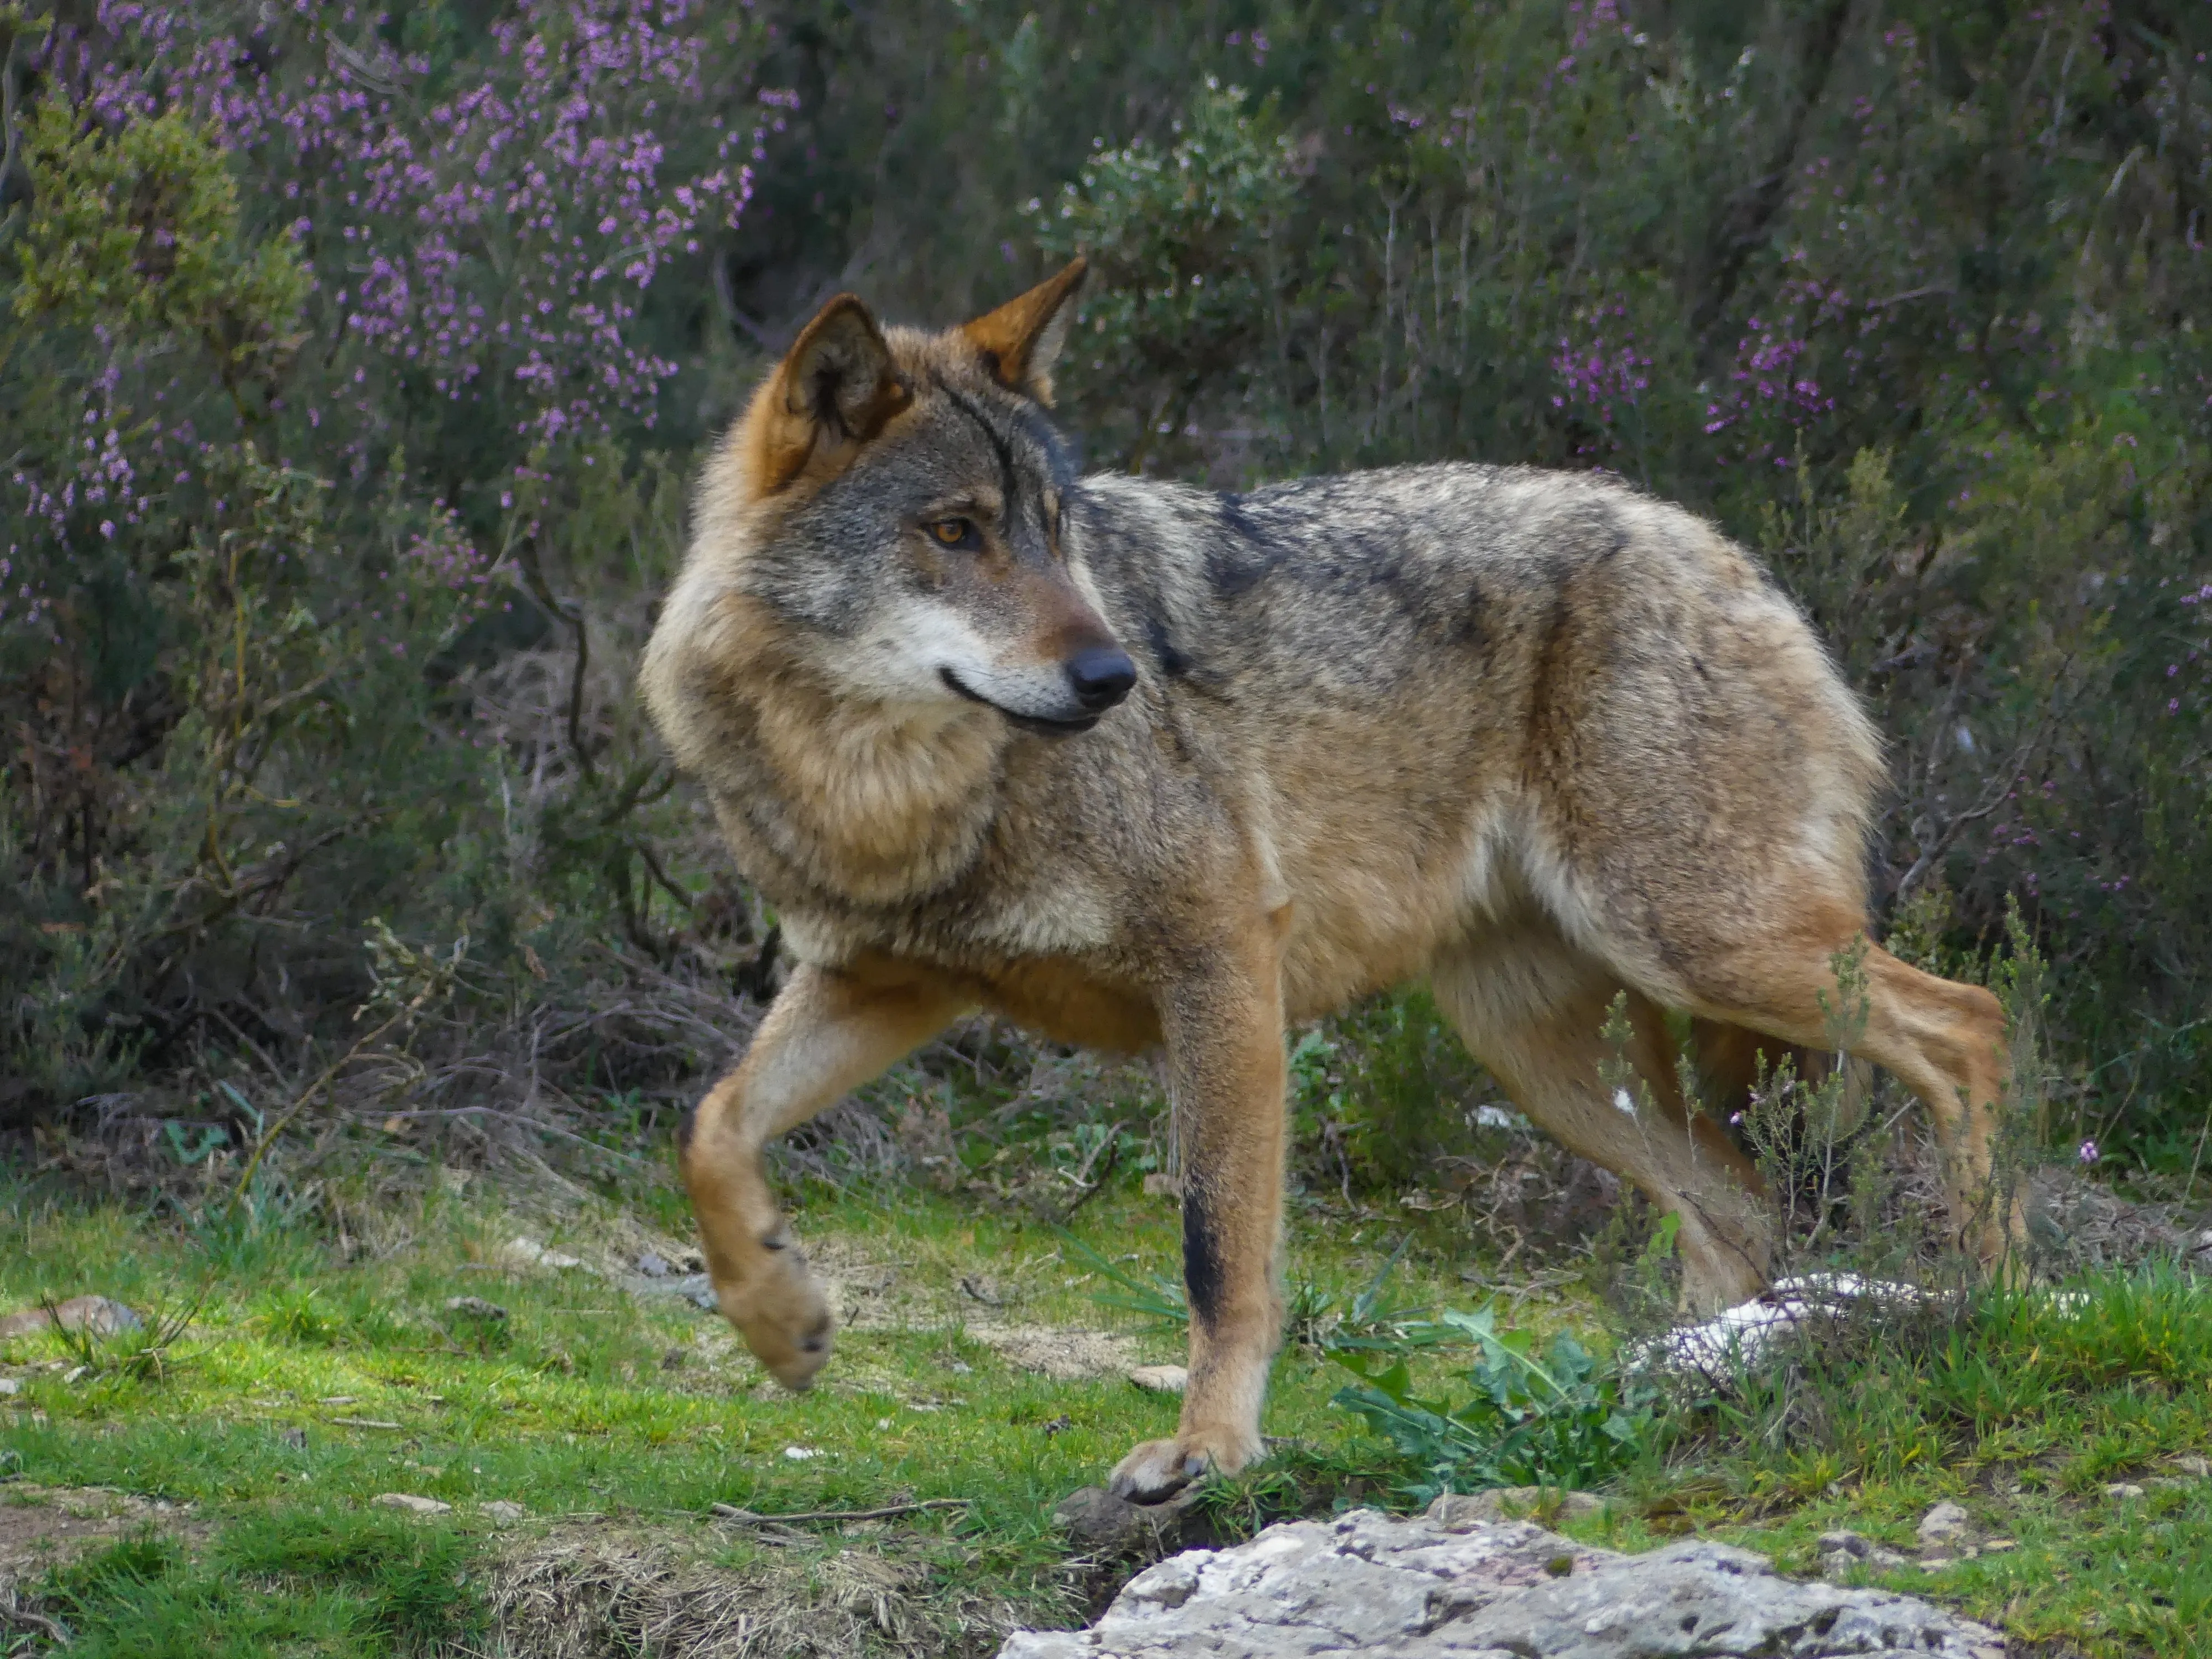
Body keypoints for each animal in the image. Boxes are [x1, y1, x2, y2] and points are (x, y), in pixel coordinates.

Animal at [640, 260, 2017, 1502]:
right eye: (954, 531)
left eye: (1055, 531)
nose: (1117, 678)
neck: (888, 795)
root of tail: (1731, 553)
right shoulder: (882, 985)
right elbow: (709, 1128)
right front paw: (777, 1320)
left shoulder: (1222, 965)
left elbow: (1218, 1251)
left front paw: (1206, 1449)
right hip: (1542, 1049)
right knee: (1732, 1204)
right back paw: (1673, 1378)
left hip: (1695, 947)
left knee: (1968, 1025)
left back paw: (1990, 1295)